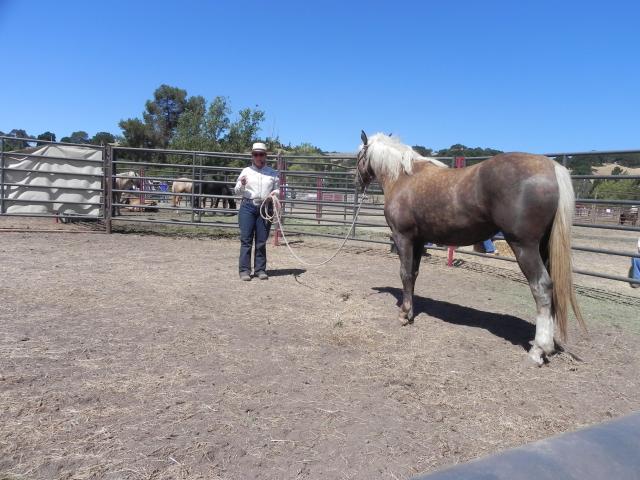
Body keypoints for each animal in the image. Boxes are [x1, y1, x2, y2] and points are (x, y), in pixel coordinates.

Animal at [356, 131, 584, 364]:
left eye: (359, 156)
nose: (358, 181)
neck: (403, 177)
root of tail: (551, 167)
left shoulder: (403, 238)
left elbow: (405, 274)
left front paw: (404, 314)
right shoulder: (418, 241)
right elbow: (414, 274)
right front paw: (411, 312)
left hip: (524, 246)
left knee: (542, 286)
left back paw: (539, 349)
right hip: (544, 247)